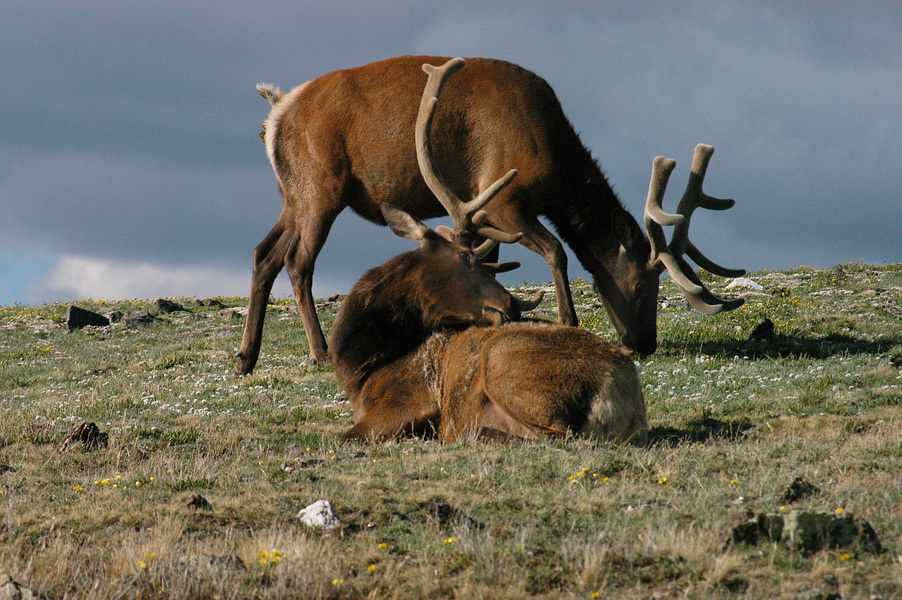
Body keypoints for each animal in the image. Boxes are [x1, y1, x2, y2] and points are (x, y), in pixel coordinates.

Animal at [237, 56, 744, 376]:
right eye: (641, 284)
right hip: (319, 188)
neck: (555, 166)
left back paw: (246, 356)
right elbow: (558, 252)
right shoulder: (504, 197)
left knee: (264, 254)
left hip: (292, 195)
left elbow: (493, 262)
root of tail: (275, 115)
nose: (645, 343)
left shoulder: (485, 213)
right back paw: (320, 353)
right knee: (298, 262)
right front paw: (569, 322)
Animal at [330, 61, 648, 446]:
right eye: (466, 258)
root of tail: (618, 389)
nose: (511, 305)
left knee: (553, 434)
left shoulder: (406, 399)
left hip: (503, 364)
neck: (363, 367)